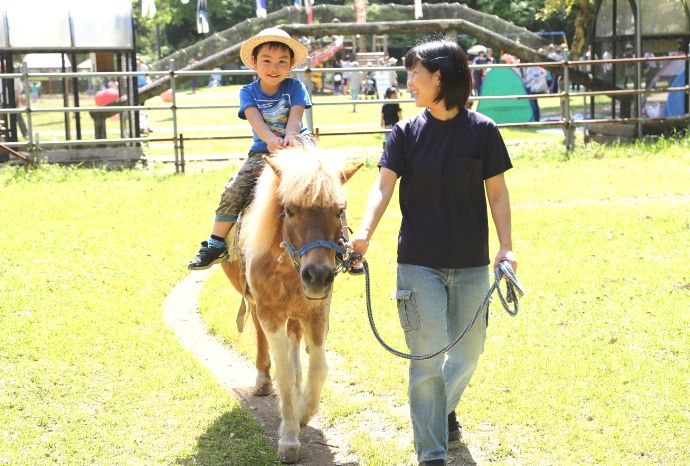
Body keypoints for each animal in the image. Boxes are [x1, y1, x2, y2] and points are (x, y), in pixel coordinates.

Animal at [220, 147, 362, 462]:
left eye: (339, 211)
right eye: (291, 210)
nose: (318, 276)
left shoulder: (318, 311)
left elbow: (319, 367)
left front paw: (304, 411)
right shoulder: (270, 313)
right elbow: (283, 372)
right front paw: (288, 437)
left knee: (295, 342)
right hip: (257, 304)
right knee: (264, 338)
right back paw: (263, 380)